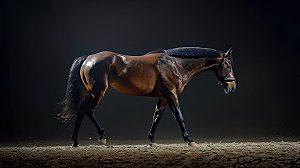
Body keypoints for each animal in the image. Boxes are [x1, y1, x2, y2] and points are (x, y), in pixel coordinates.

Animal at [58, 46, 237, 146]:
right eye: (228, 65)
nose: (232, 87)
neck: (175, 64)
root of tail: (88, 58)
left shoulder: (164, 97)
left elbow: (156, 117)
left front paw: (152, 140)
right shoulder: (171, 94)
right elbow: (179, 116)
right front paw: (189, 140)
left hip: (90, 93)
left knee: (81, 112)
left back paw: (75, 142)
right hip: (98, 92)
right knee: (88, 111)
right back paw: (101, 136)